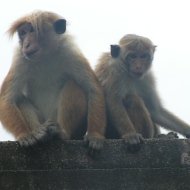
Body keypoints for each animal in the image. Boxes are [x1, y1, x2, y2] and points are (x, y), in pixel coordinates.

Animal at [0, 10, 105, 157]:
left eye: (32, 30)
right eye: (23, 33)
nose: (26, 44)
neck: (45, 56)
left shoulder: (71, 52)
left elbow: (93, 89)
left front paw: (95, 136)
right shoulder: (20, 59)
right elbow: (6, 99)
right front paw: (25, 135)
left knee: (74, 84)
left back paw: (62, 134)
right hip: (43, 119)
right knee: (18, 99)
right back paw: (40, 134)